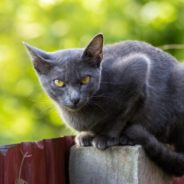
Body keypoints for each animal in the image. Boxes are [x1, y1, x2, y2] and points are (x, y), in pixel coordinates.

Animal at [24, 33, 184, 176]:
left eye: (85, 79)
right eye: (58, 82)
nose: (75, 98)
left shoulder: (138, 69)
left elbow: (120, 117)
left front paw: (106, 137)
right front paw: (86, 136)